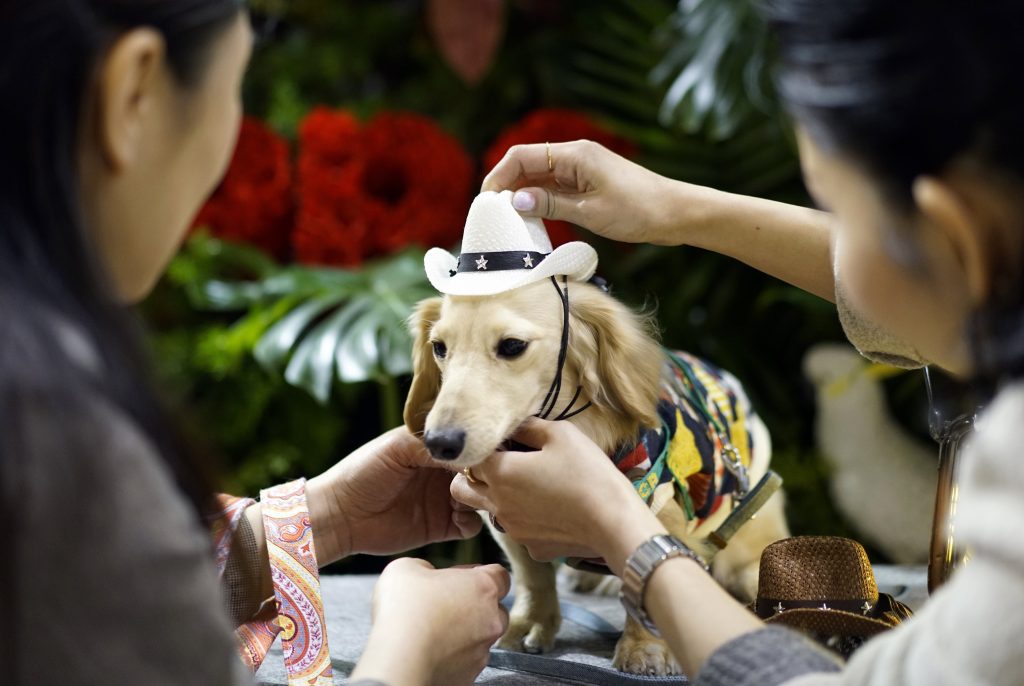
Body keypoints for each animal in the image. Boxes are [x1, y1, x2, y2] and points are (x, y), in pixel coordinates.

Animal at [403, 192, 786, 675]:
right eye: (439, 348)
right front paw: (530, 624)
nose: (441, 443)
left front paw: (645, 649)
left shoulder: (662, 514)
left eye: (512, 346)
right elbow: (532, 576)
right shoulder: (504, 521)